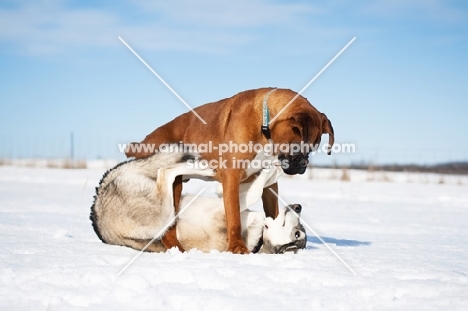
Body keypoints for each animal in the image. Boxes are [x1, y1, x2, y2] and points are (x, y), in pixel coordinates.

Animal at [89, 152, 308, 255]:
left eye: (298, 233)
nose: (299, 207)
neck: (260, 237)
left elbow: (253, 190)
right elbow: (257, 184)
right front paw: (275, 165)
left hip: (161, 216)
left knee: (165, 172)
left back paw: (199, 168)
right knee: (165, 169)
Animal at [126, 87, 334, 254]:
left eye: (313, 149)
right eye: (298, 148)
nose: (304, 164)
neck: (264, 125)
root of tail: (147, 140)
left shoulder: (270, 186)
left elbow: (271, 209)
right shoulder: (232, 179)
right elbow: (234, 216)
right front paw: (237, 247)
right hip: (174, 187)